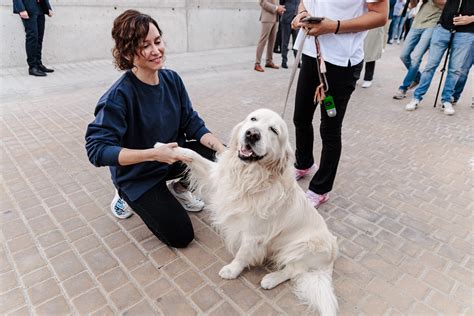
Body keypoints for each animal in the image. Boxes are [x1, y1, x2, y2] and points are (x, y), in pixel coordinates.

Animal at [157, 108, 338, 314]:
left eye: (273, 130)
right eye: (253, 119)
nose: (252, 134)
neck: (249, 177)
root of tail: (332, 256)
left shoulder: (254, 233)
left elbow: (243, 254)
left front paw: (232, 270)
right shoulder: (217, 177)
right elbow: (192, 154)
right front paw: (164, 147)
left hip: (302, 247)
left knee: (294, 270)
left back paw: (270, 279)